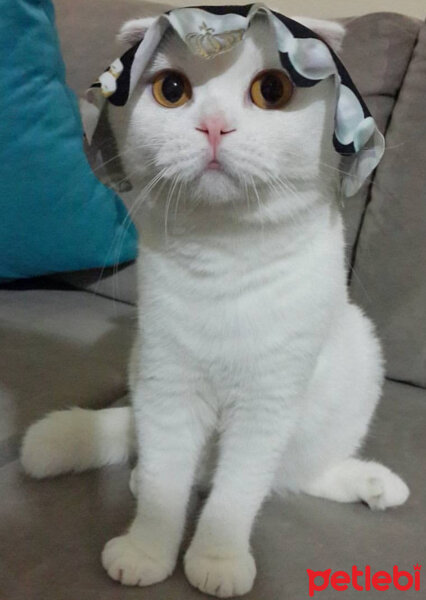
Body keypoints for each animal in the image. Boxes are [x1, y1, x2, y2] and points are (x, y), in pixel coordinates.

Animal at [20, 10, 410, 600]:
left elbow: (237, 493)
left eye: (272, 90)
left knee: (293, 474)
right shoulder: (167, 386)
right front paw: (146, 551)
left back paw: (375, 483)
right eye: (172, 90)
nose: (214, 127)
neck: (226, 258)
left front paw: (217, 559)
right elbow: (166, 485)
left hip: (357, 362)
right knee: (174, 463)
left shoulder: (267, 404)